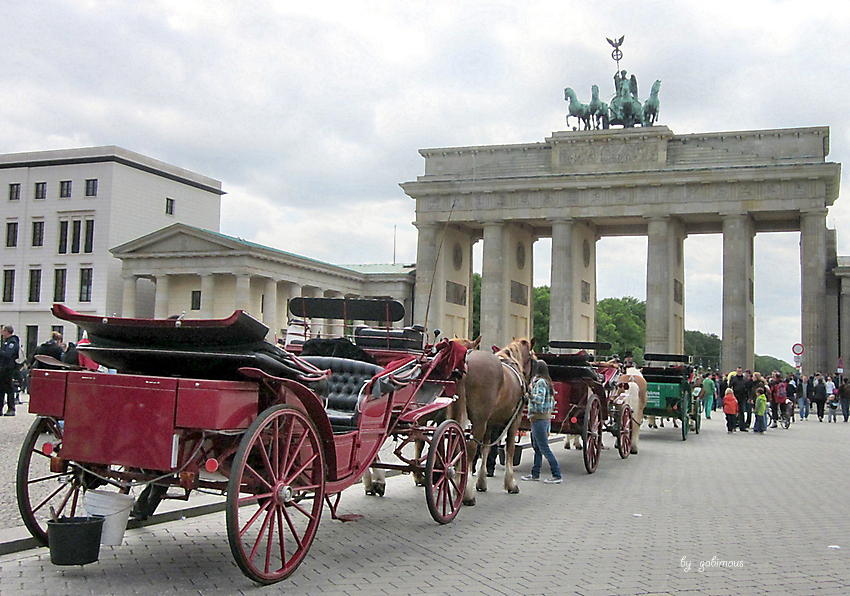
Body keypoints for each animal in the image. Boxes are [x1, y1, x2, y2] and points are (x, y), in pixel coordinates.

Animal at [450, 338, 536, 506]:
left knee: (457, 447)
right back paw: (467, 493)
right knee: (470, 449)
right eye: (532, 358)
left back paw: (458, 484)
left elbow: (486, 449)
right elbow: (510, 449)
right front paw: (511, 483)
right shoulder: (514, 420)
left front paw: (482, 481)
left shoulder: (490, 422)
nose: (530, 384)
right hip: (478, 422)